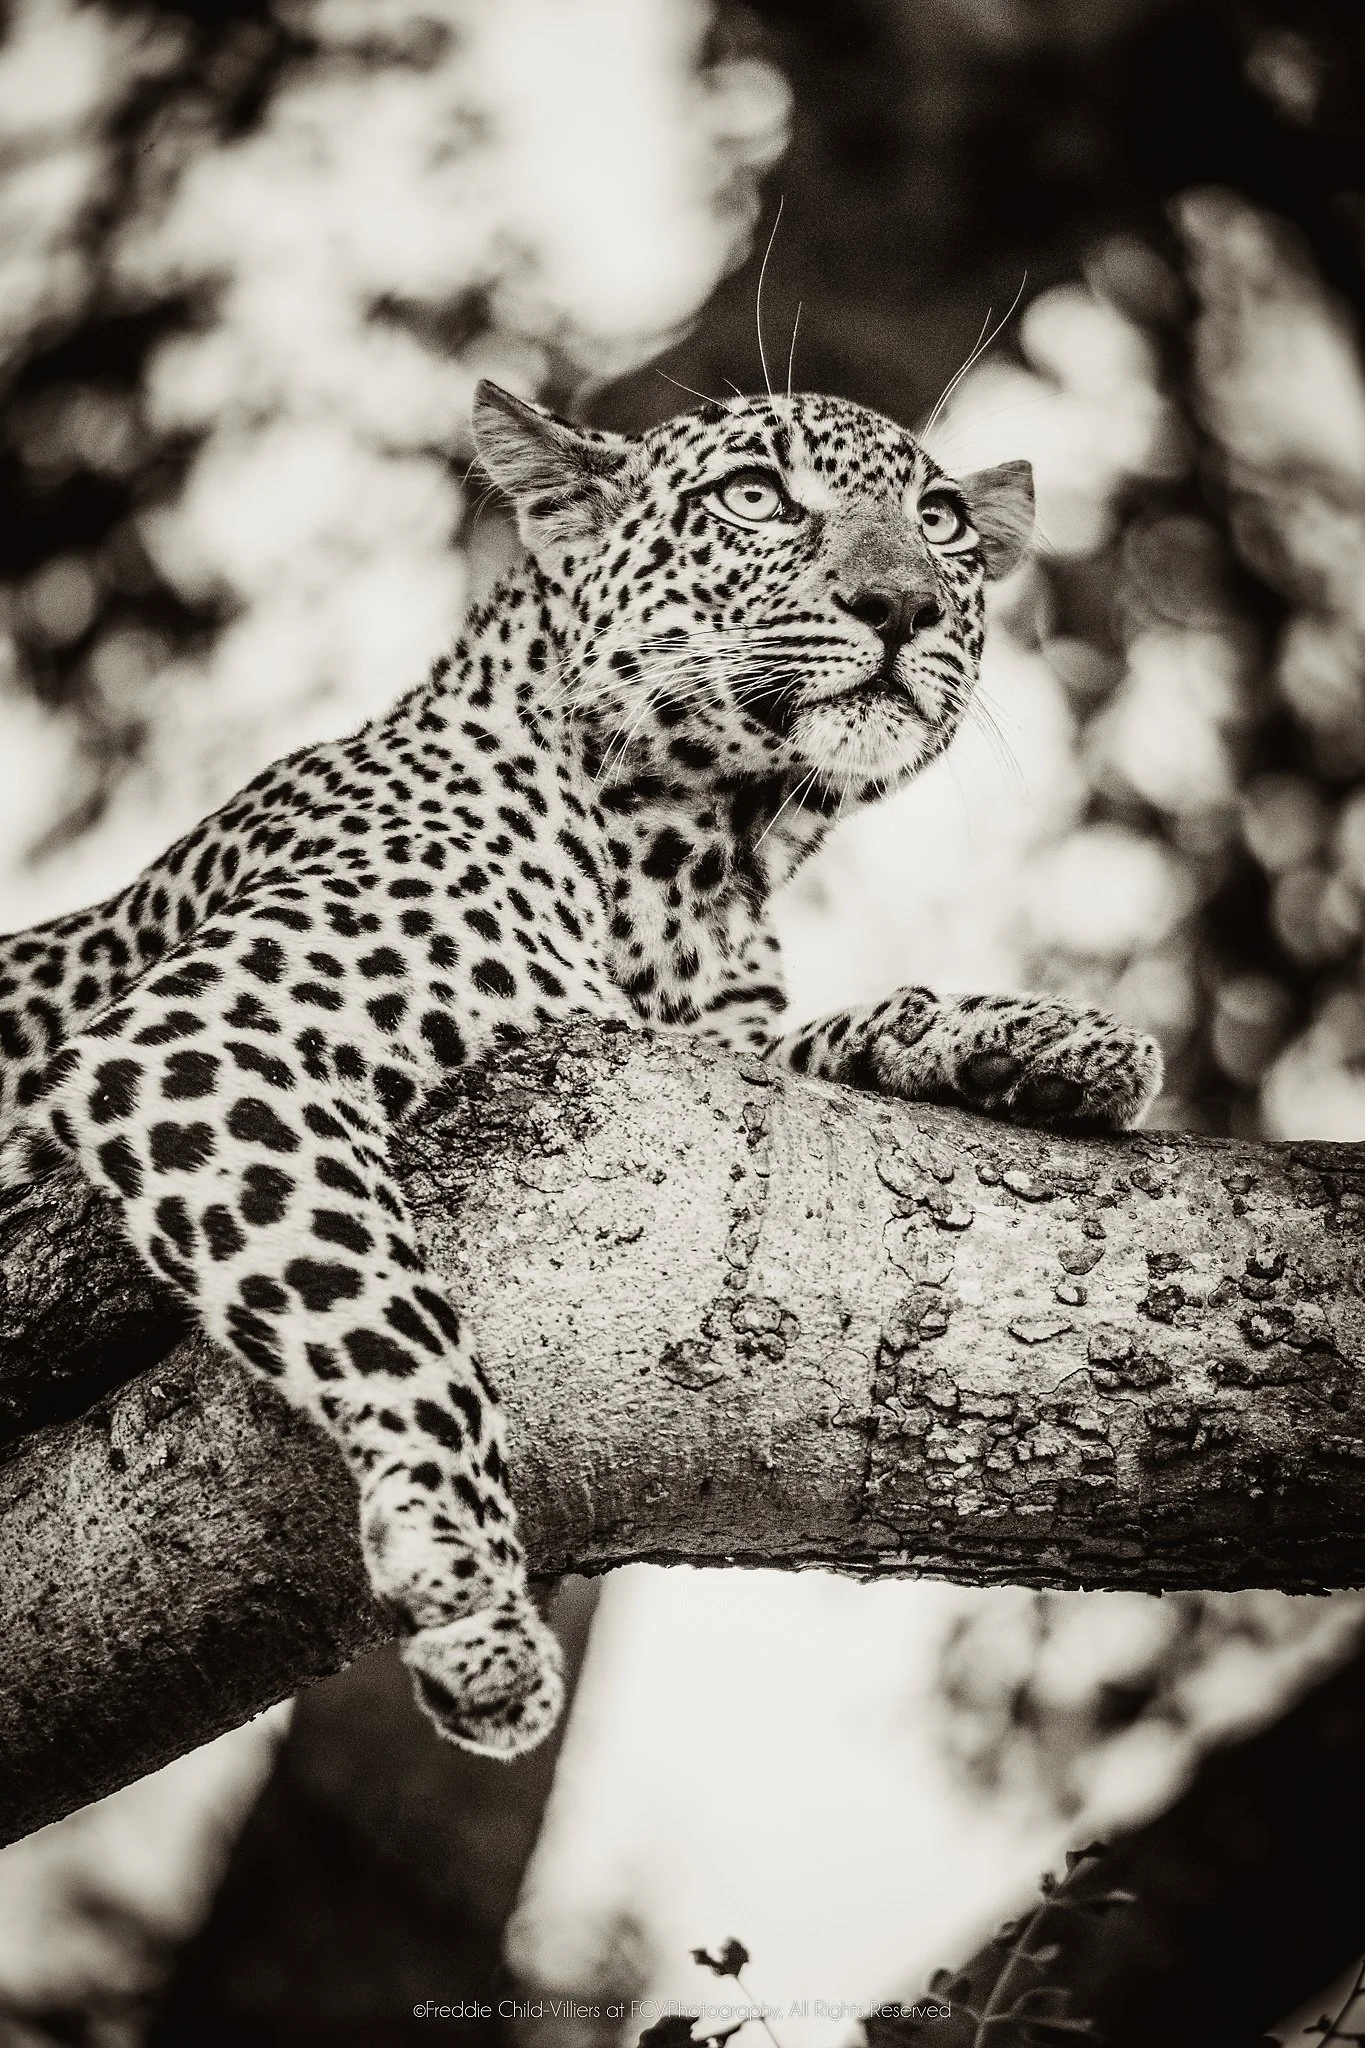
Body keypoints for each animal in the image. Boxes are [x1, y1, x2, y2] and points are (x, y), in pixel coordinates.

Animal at [0, 382, 1161, 1759]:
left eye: (941, 523)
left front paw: (1049, 1037)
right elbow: (400, 1328)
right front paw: (472, 1600)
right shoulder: (208, 1029)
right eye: (754, 495)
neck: (695, 866)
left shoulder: (695, 1040)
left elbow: (820, 1039)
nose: (902, 604)